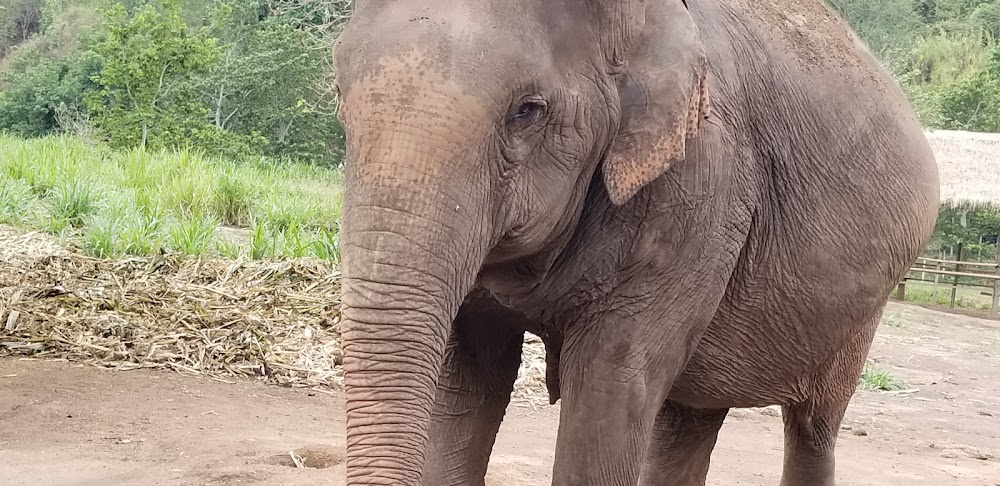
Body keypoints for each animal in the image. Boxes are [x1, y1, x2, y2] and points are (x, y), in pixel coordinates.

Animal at [332, 0, 940, 486]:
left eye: (527, 110)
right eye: (339, 94)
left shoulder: (699, 190)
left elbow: (607, 390)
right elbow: (469, 379)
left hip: (859, 316)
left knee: (812, 426)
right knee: (688, 416)